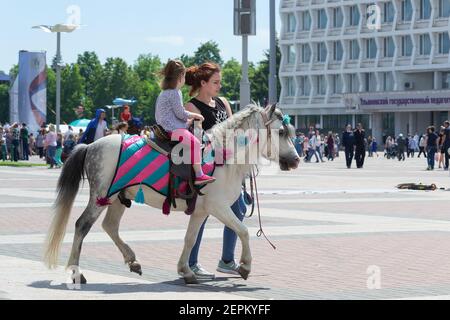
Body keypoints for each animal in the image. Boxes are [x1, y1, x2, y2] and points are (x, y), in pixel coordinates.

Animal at [44, 104, 300, 284]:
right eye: (280, 132)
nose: (297, 160)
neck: (223, 157)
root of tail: (90, 145)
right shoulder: (219, 207)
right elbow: (243, 231)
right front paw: (245, 266)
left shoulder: (201, 211)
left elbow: (190, 239)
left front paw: (186, 271)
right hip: (101, 196)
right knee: (82, 225)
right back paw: (76, 273)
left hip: (117, 197)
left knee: (110, 226)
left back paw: (132, 261)